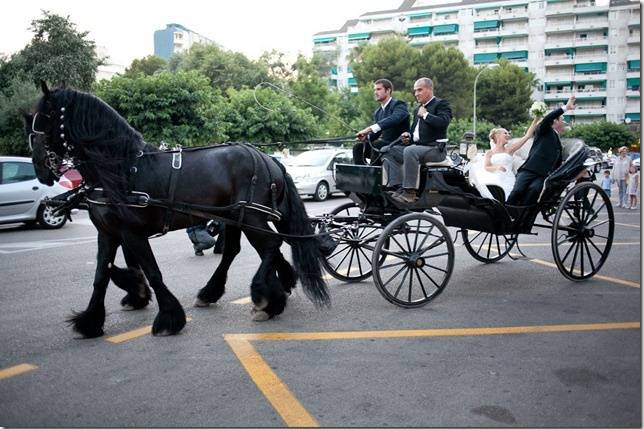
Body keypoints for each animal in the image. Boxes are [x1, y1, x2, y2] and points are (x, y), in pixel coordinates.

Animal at [27, 82, 330, 338]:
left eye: (46, 118)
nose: (40, 168)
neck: (124, 168)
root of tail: (269, 159)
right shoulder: (108, 233)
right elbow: (101, 275)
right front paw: (91, 320)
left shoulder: (132, 233)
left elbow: (152, 272)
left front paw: (168, 318)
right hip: (237, 216)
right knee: (242, 249)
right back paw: (234, 291)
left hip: (251, 216)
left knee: (270, 245)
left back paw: (263, 298)